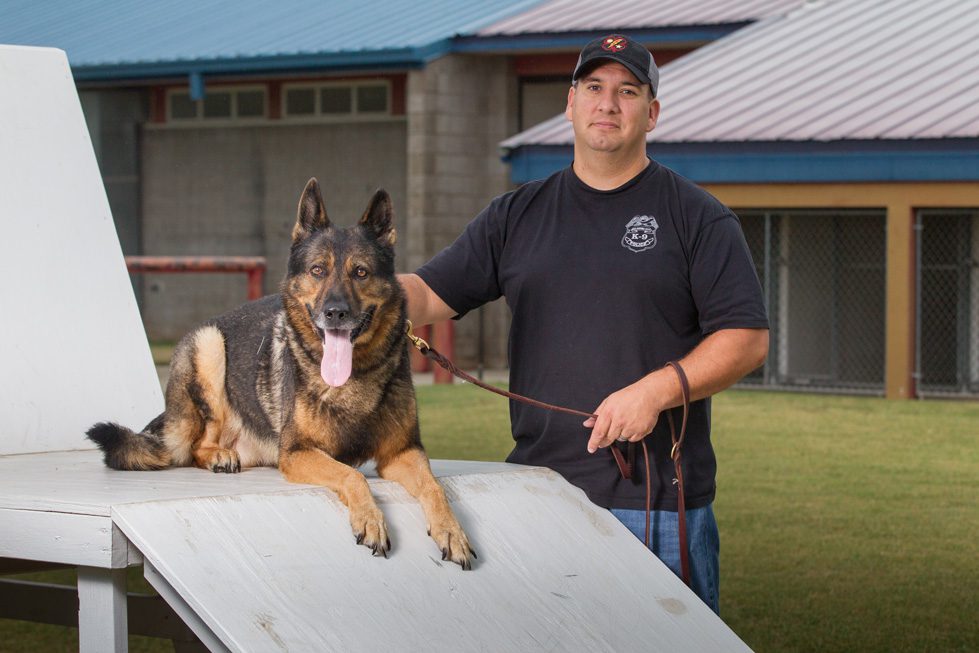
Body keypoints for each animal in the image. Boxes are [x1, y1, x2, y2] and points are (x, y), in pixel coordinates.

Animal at [86, 181, 476, 568]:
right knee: (194, 446)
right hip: (209, 346)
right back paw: (217, 455)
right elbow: (350, 474)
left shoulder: (403, 452)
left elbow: (433, 486)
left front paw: (452, 531)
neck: (354, 377)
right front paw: (370, 518)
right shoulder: (297, 452)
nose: (335, 313)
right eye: (318, 270)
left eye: (361, 272)